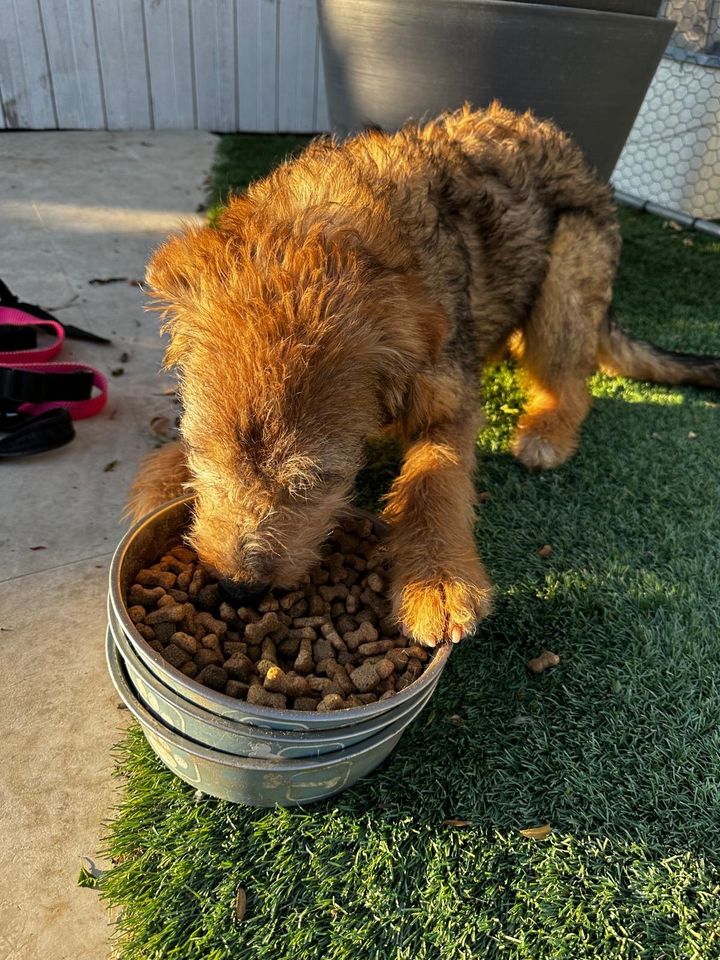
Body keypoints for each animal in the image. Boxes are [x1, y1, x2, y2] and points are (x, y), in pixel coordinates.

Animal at [129, 103, 720, 644]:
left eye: (315, 481)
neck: (323, 231)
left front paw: (437, 581)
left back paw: (547, 429)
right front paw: (160, 485)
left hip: (567, 276)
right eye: (201, 451)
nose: (237, 587)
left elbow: (433, 482)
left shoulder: (449, 405)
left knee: (572, 381)